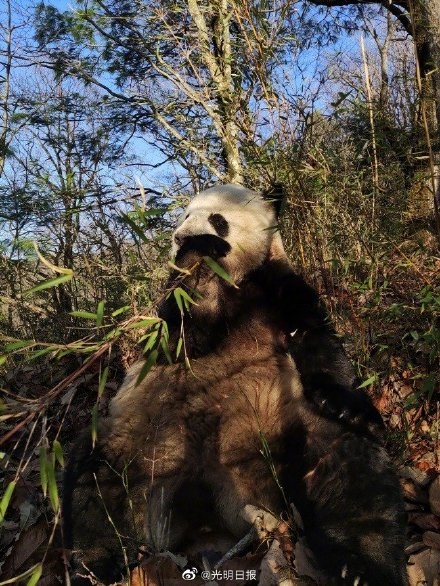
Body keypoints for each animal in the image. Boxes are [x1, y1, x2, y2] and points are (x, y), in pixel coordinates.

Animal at [63, 184, 408, 584]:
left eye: (218, 219)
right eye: (183, 216)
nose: (181, 237)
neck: (233, 281)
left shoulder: (278, 285)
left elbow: (316, 341)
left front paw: (348, 405)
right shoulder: (176, 312)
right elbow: (179, 339)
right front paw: (194, 262)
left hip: (276, 432)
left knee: (345, 468)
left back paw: (367, 567)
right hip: (140, 441)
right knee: (94, 482)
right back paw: (94, 564)